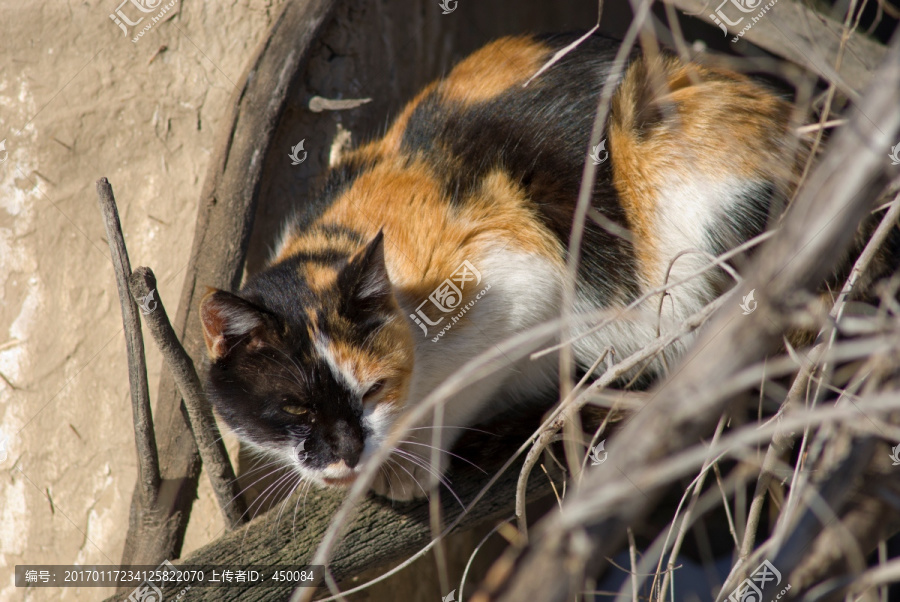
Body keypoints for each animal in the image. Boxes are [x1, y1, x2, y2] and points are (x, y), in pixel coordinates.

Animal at [199, 35, 800, 500]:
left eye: (373, 390)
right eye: (294, 408)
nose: (347, 455)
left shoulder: (520, 279)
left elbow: (467, 383)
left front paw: (409, 467)